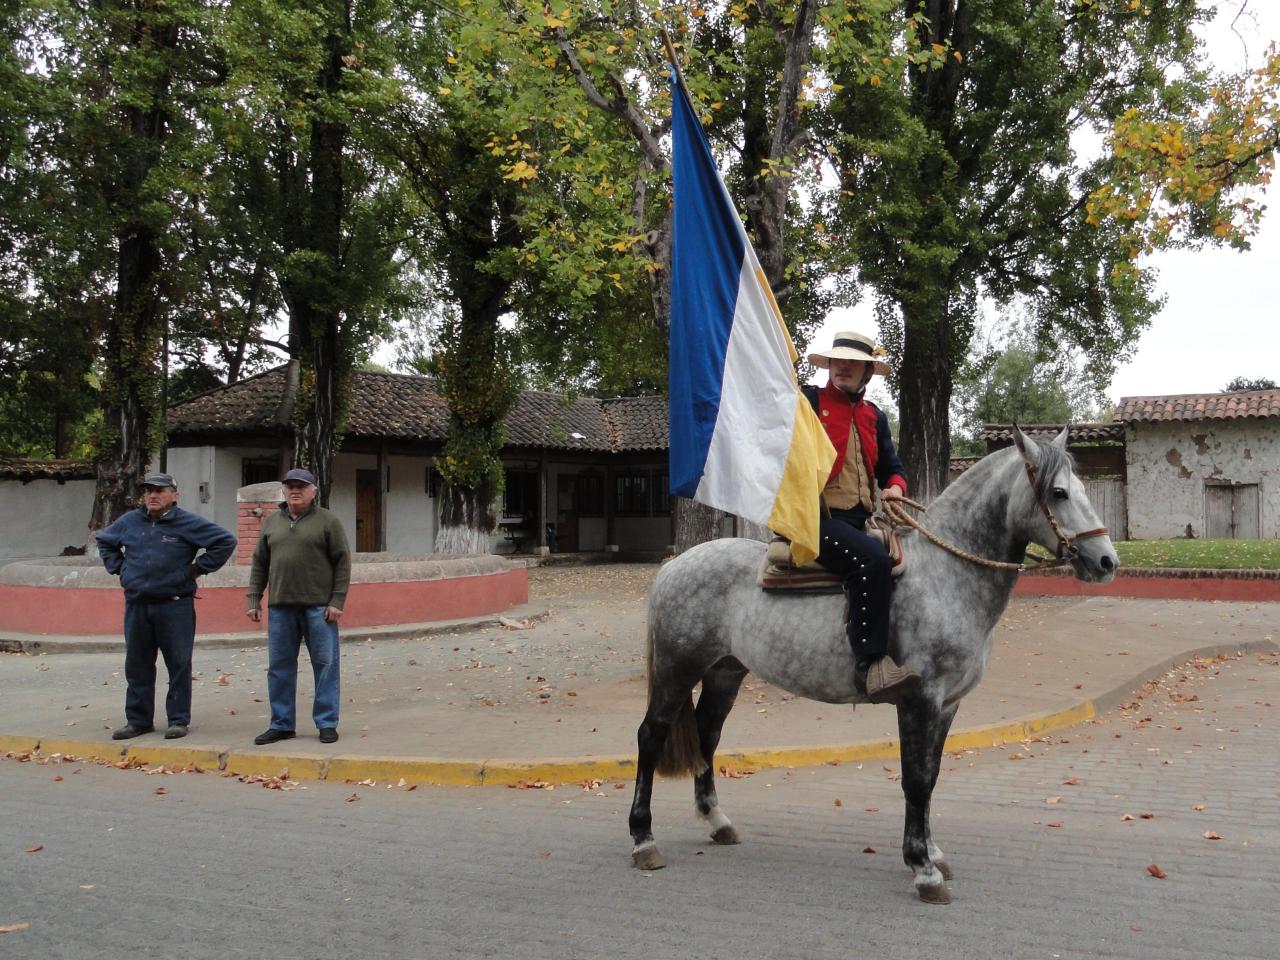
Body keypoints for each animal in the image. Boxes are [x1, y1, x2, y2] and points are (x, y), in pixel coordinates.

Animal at [634, 432, 1116, 906]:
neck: (944, 576)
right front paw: (922, 869)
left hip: (724, 673)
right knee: (651, 737)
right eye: (1059, 492)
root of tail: (675, 565)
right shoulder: (920, 700)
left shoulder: (947, 705)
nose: (1107, 562)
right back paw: (643, 840)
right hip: (678, 670)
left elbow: (931, 776)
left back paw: (717, 821)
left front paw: (932, 853)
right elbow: (916, 780)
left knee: (707, 736)